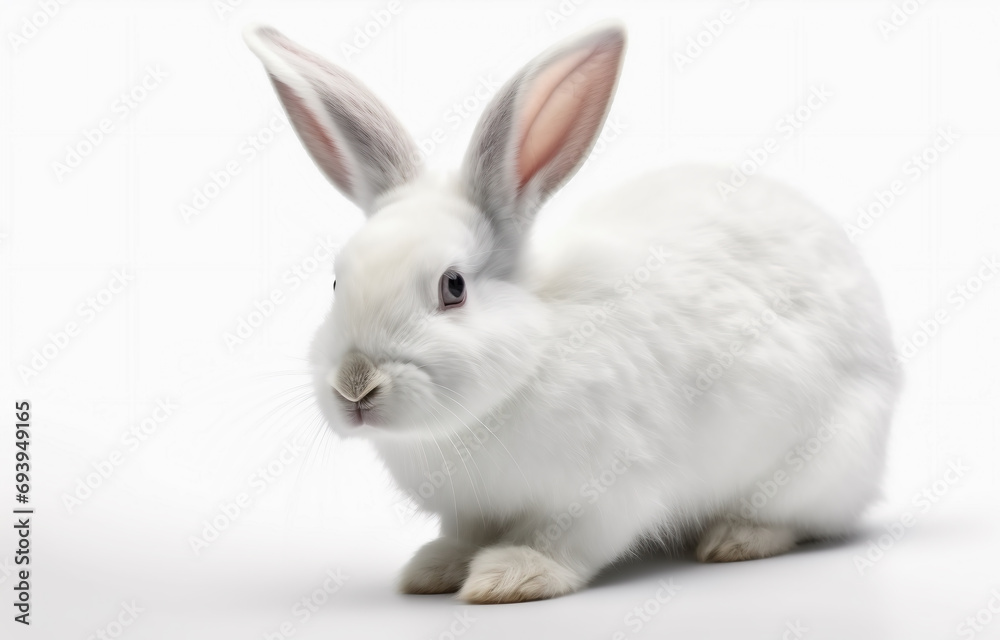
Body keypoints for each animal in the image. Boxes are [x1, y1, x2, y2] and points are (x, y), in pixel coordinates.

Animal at [246, 18, 904, 600]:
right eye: (336, 282)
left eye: (453, 287)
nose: (355, 384)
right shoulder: (469, 512)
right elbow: (460, 538)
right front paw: (432, 570)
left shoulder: (609, 490)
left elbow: (564, 542)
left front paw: (511, 577)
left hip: (814, 466)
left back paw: (736, 539)